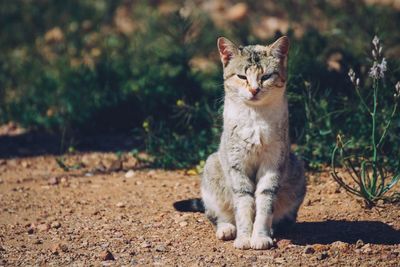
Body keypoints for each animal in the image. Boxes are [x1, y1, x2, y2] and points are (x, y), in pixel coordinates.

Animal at [174, 36, 306, 251]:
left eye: (266, 76)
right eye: (242, 77)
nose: (254, 89)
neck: (254, 117)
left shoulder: (272, 164)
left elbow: (264, 204)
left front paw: (260, 236)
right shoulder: (237, 166)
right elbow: (243, 206)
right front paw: (244, 238)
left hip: (297, 170)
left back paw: (272, 230)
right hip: (212, 168)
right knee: (216, 216)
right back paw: (227, 229)